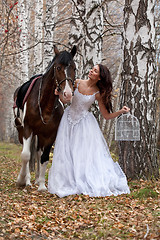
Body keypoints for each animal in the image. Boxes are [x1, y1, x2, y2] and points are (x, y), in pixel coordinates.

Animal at [13, 45, 77, 190]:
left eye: (74, 68)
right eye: (58, 67)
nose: (67, 94)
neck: (44, 104)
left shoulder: (50, 135)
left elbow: (44, 157)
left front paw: (42, 185)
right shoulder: (28, 129)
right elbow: (25, 155)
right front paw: (21, 180)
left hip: (40, 135)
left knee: (37, 153)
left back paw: (36, 179)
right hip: (22, 130)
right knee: (28, 153)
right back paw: (27, 180)